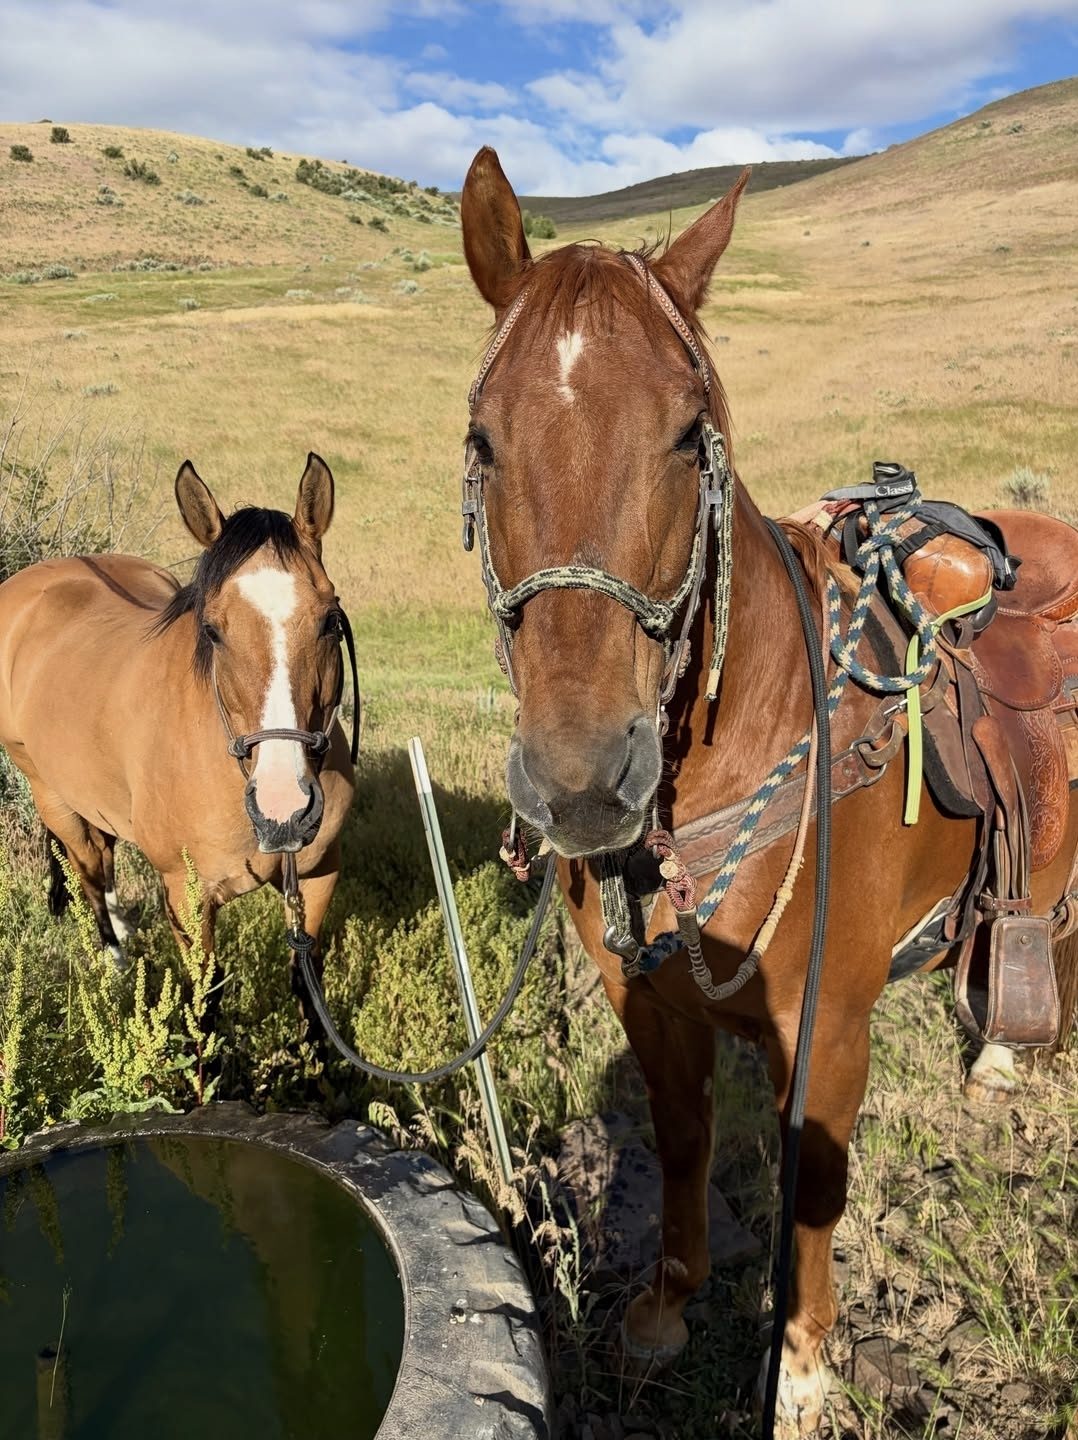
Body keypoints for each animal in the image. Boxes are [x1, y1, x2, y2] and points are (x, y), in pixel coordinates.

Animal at [0, 453, 355, 1000]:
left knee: (105, 852)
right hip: (50, 793)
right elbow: (205, 1002)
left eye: (331, 620)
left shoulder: (318, 877)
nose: (283, 808)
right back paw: (116, 958)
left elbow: (306, 983)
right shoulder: (188, 900)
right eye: (212, 629)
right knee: (87, 866)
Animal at [458, 148, 1078, 1432]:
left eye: (688, 433)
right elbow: (685, 1141)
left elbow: (814, 1185)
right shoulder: (651, 1007)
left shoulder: (828, 1023)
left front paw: (798, 1368)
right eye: (484, 439)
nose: (583, 782)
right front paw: (662, 1309)